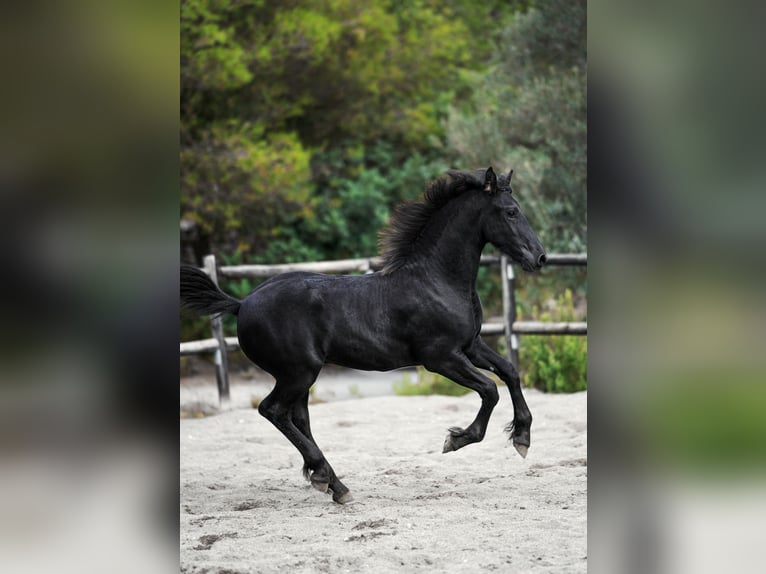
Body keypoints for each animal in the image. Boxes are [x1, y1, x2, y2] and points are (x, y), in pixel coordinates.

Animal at [180, 167, 546, 504]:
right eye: (511, 212)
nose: (539, 257)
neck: (436, 280)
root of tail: (241, 304)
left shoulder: (470, 346)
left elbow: (510, 372)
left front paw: (523, 437)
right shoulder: (441, 357)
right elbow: (490, 389)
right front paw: (456, 439)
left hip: (299, 375)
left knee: (297, 418)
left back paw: (331, 482)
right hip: (299, 373)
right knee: (273, 411)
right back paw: (329, 479)